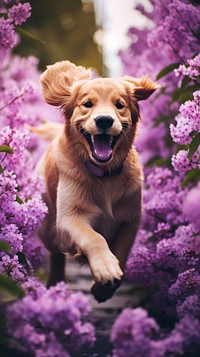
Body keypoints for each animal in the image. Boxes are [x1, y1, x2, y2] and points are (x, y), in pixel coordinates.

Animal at [31, 60, 158, 300]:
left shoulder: (130, 220)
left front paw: (103, 290)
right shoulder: (69, 219)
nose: (104, 120)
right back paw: (55, 286)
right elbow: (94, 238)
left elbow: (122, 254)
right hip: (47, 225)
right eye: (87, 104)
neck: (104, 174)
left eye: (120, 105)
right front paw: (106, 268)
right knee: (56, 254)